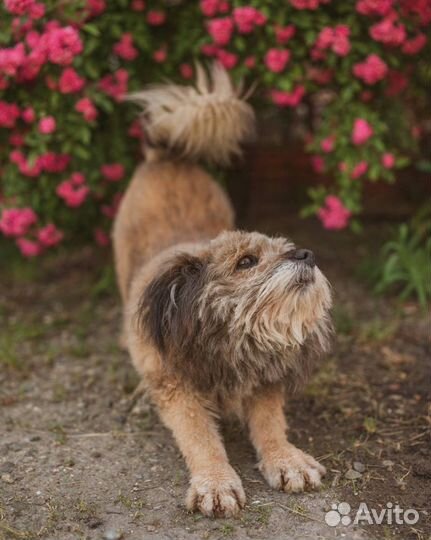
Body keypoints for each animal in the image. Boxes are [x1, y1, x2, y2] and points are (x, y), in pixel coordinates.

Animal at [113, 63, 332, 520]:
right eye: (246, 261)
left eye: (284, 247)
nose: (306, 253)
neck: (234, 336)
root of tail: (168, 155)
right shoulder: (177, 389)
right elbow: (200, 438)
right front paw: (215, 482)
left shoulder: (265, 382)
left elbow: (270, 424)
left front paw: (285, 458)